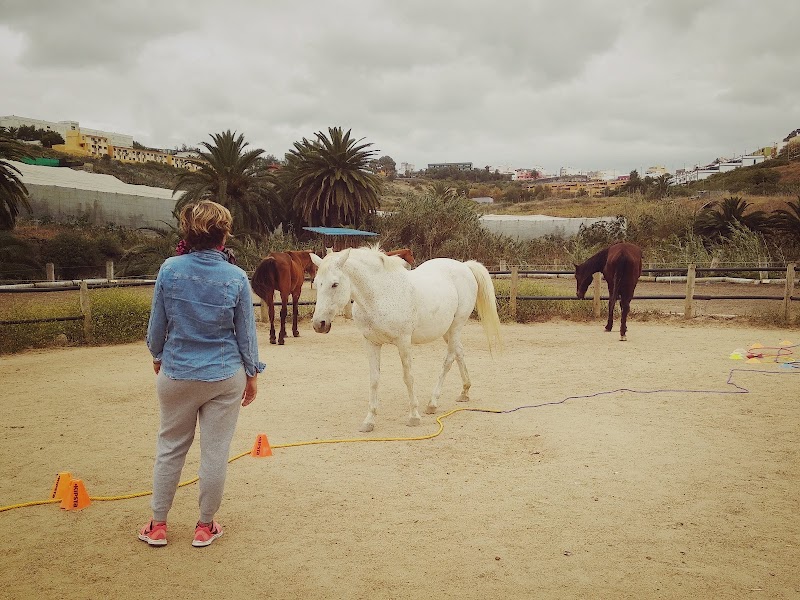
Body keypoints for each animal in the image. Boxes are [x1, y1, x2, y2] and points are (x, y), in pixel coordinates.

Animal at [310, 246, 502, 432]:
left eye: (335, 284)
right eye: (317, 283)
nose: (319, 324)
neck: (380, 294)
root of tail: (465, 267)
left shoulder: (403, 342)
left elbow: (408, 377)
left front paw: (414, 417)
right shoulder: (371, 343)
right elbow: (374, 380)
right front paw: (369, 421)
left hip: (456, 326)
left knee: (448, 360)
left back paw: (433, 403)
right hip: (446, 331)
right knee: (459, 353)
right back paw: (464, 392)